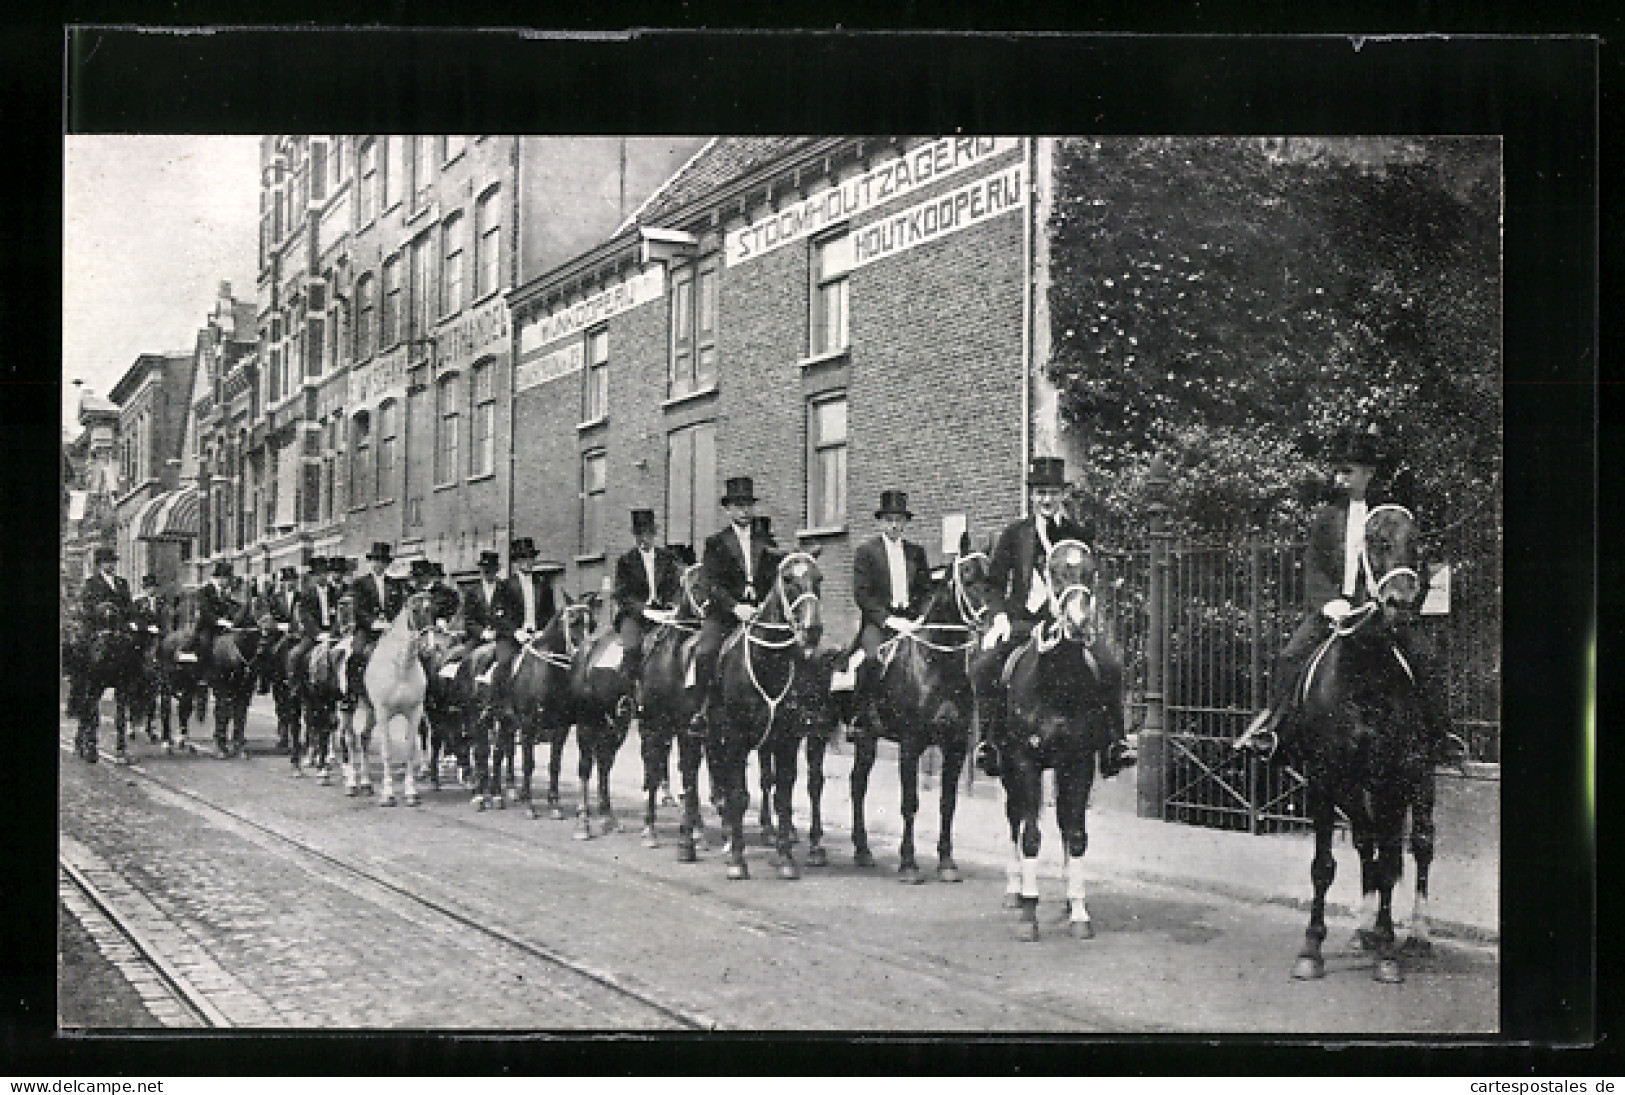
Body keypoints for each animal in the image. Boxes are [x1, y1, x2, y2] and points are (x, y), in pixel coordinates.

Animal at [344, 588, 432, 802]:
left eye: (431, 609)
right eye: (415, 610)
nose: (428, 646)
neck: (401, 667)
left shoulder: (415, 711)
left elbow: (409, 750)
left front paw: (411, 792)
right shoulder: (383, 712)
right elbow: (386, 752)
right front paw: (388, 793)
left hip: (371, 711)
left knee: (364, 737)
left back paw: (366, 783)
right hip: (347, 706)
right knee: (349, 739)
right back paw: (351, 784)